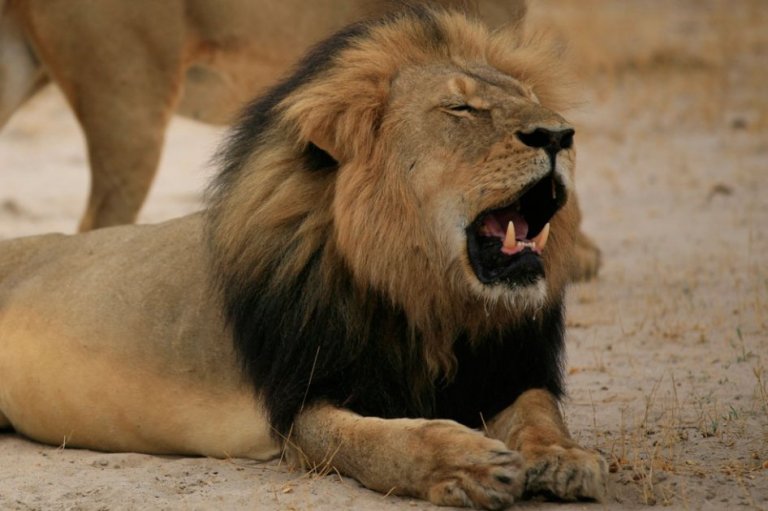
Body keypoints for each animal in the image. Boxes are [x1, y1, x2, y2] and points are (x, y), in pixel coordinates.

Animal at [0, 7, 607, 509]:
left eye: (529, 98)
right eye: (461, 108)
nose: (559, 135)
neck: (427, 300)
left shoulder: (508, 369)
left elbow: (539, 412)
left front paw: (566, 459)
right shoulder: (301, 405)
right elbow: (384, 441)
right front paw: (466, 464)